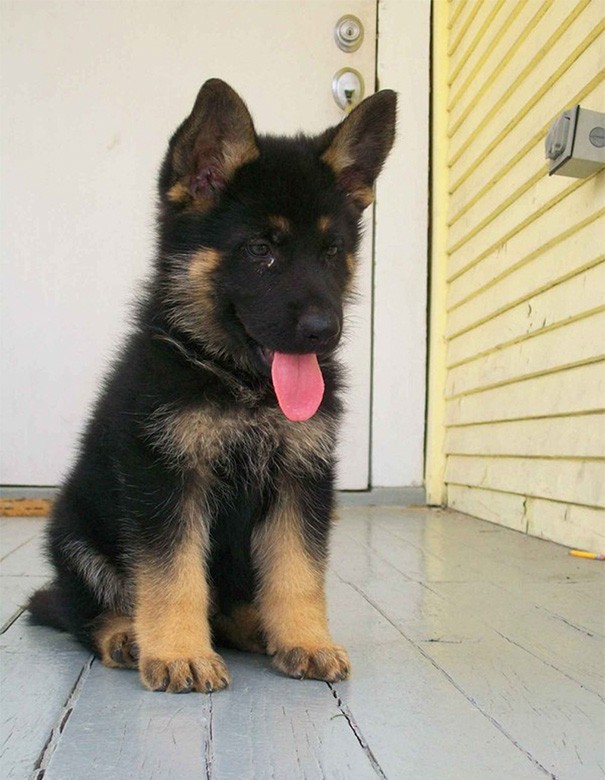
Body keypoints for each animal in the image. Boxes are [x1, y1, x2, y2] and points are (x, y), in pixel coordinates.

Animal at [28, 79, 396, 692]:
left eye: (331, 251)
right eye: (260, 249)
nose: (325, 331)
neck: (240, 383)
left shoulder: (301, 479)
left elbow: (297, 570)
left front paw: (305, 639)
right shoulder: (165, 479)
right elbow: (172, 575)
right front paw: (180, 652)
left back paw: (256, 627)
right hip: (74, 534)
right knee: (81, 610)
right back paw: (125, 635)